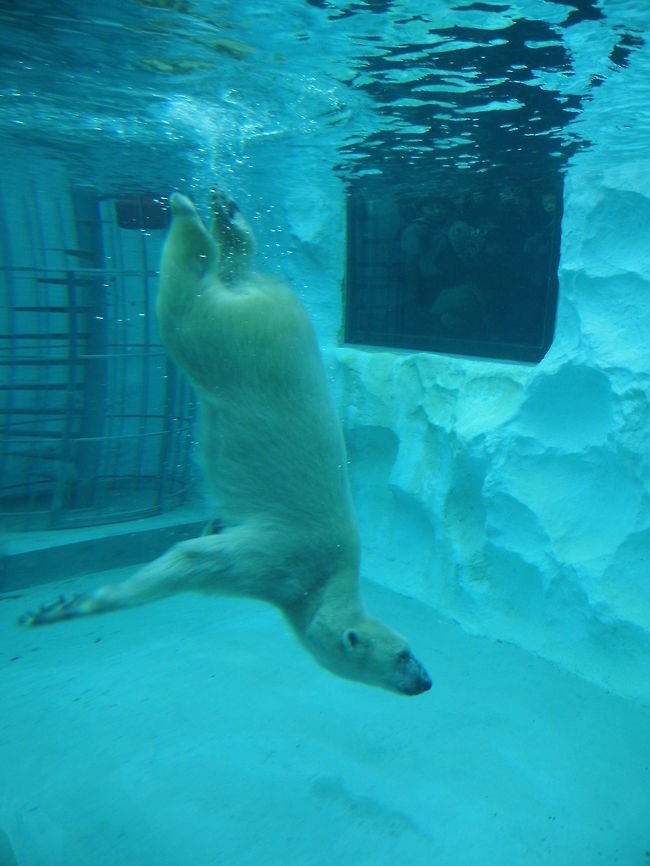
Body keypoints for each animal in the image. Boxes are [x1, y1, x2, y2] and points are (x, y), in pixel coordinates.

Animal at [19, 190, 431, 697]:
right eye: (402, 654)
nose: (427, 680)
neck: (325, 581)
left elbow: (206, 542)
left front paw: (211, 523)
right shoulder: (283, 560)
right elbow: (192, 561)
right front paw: (65, 606)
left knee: (221, 276)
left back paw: (225, 216)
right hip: (237, 338)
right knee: (184, 308)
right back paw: (188, 213)